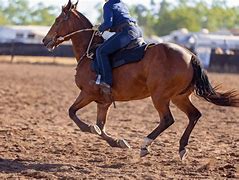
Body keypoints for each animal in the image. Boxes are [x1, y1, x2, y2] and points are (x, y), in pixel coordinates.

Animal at [43, 0, 239, 160]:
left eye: (58, 20)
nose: (45, 40)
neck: (90, 52)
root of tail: (190, 55)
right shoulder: (103, 102)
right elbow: (101, 125)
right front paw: (117, 142)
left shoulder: (87, 93)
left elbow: (73, 113)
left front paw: (91, 129)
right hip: (179, 97)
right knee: (194, 115)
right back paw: (182, 148)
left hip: (160, 96)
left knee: (167, 120)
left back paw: (145, 145)